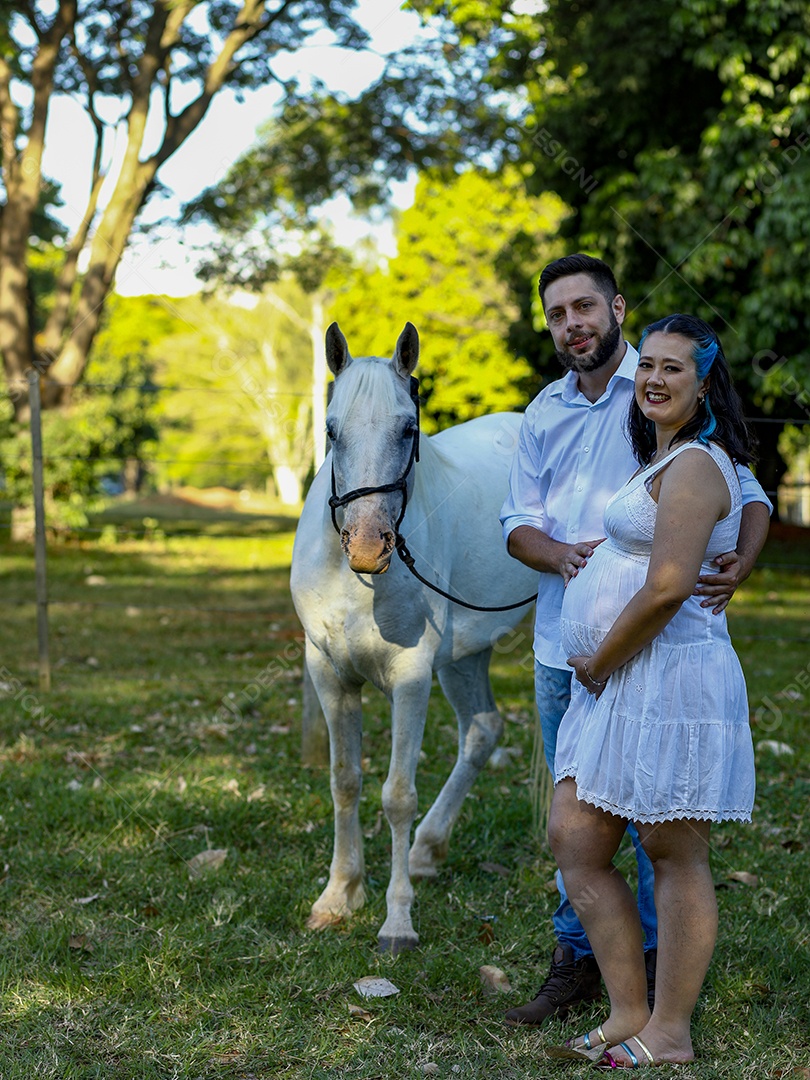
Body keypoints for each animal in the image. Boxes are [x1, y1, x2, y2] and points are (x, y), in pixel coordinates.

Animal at [289, 321, 535, 954]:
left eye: (407, 428)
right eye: (331, 430)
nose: (367, 545)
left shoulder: (410, 679)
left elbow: (397, 795)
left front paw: (396, 920)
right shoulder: (330, 677)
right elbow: (345, 782)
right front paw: (338, 896)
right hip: (464, 657)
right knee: (483, 730)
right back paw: (428, 849)